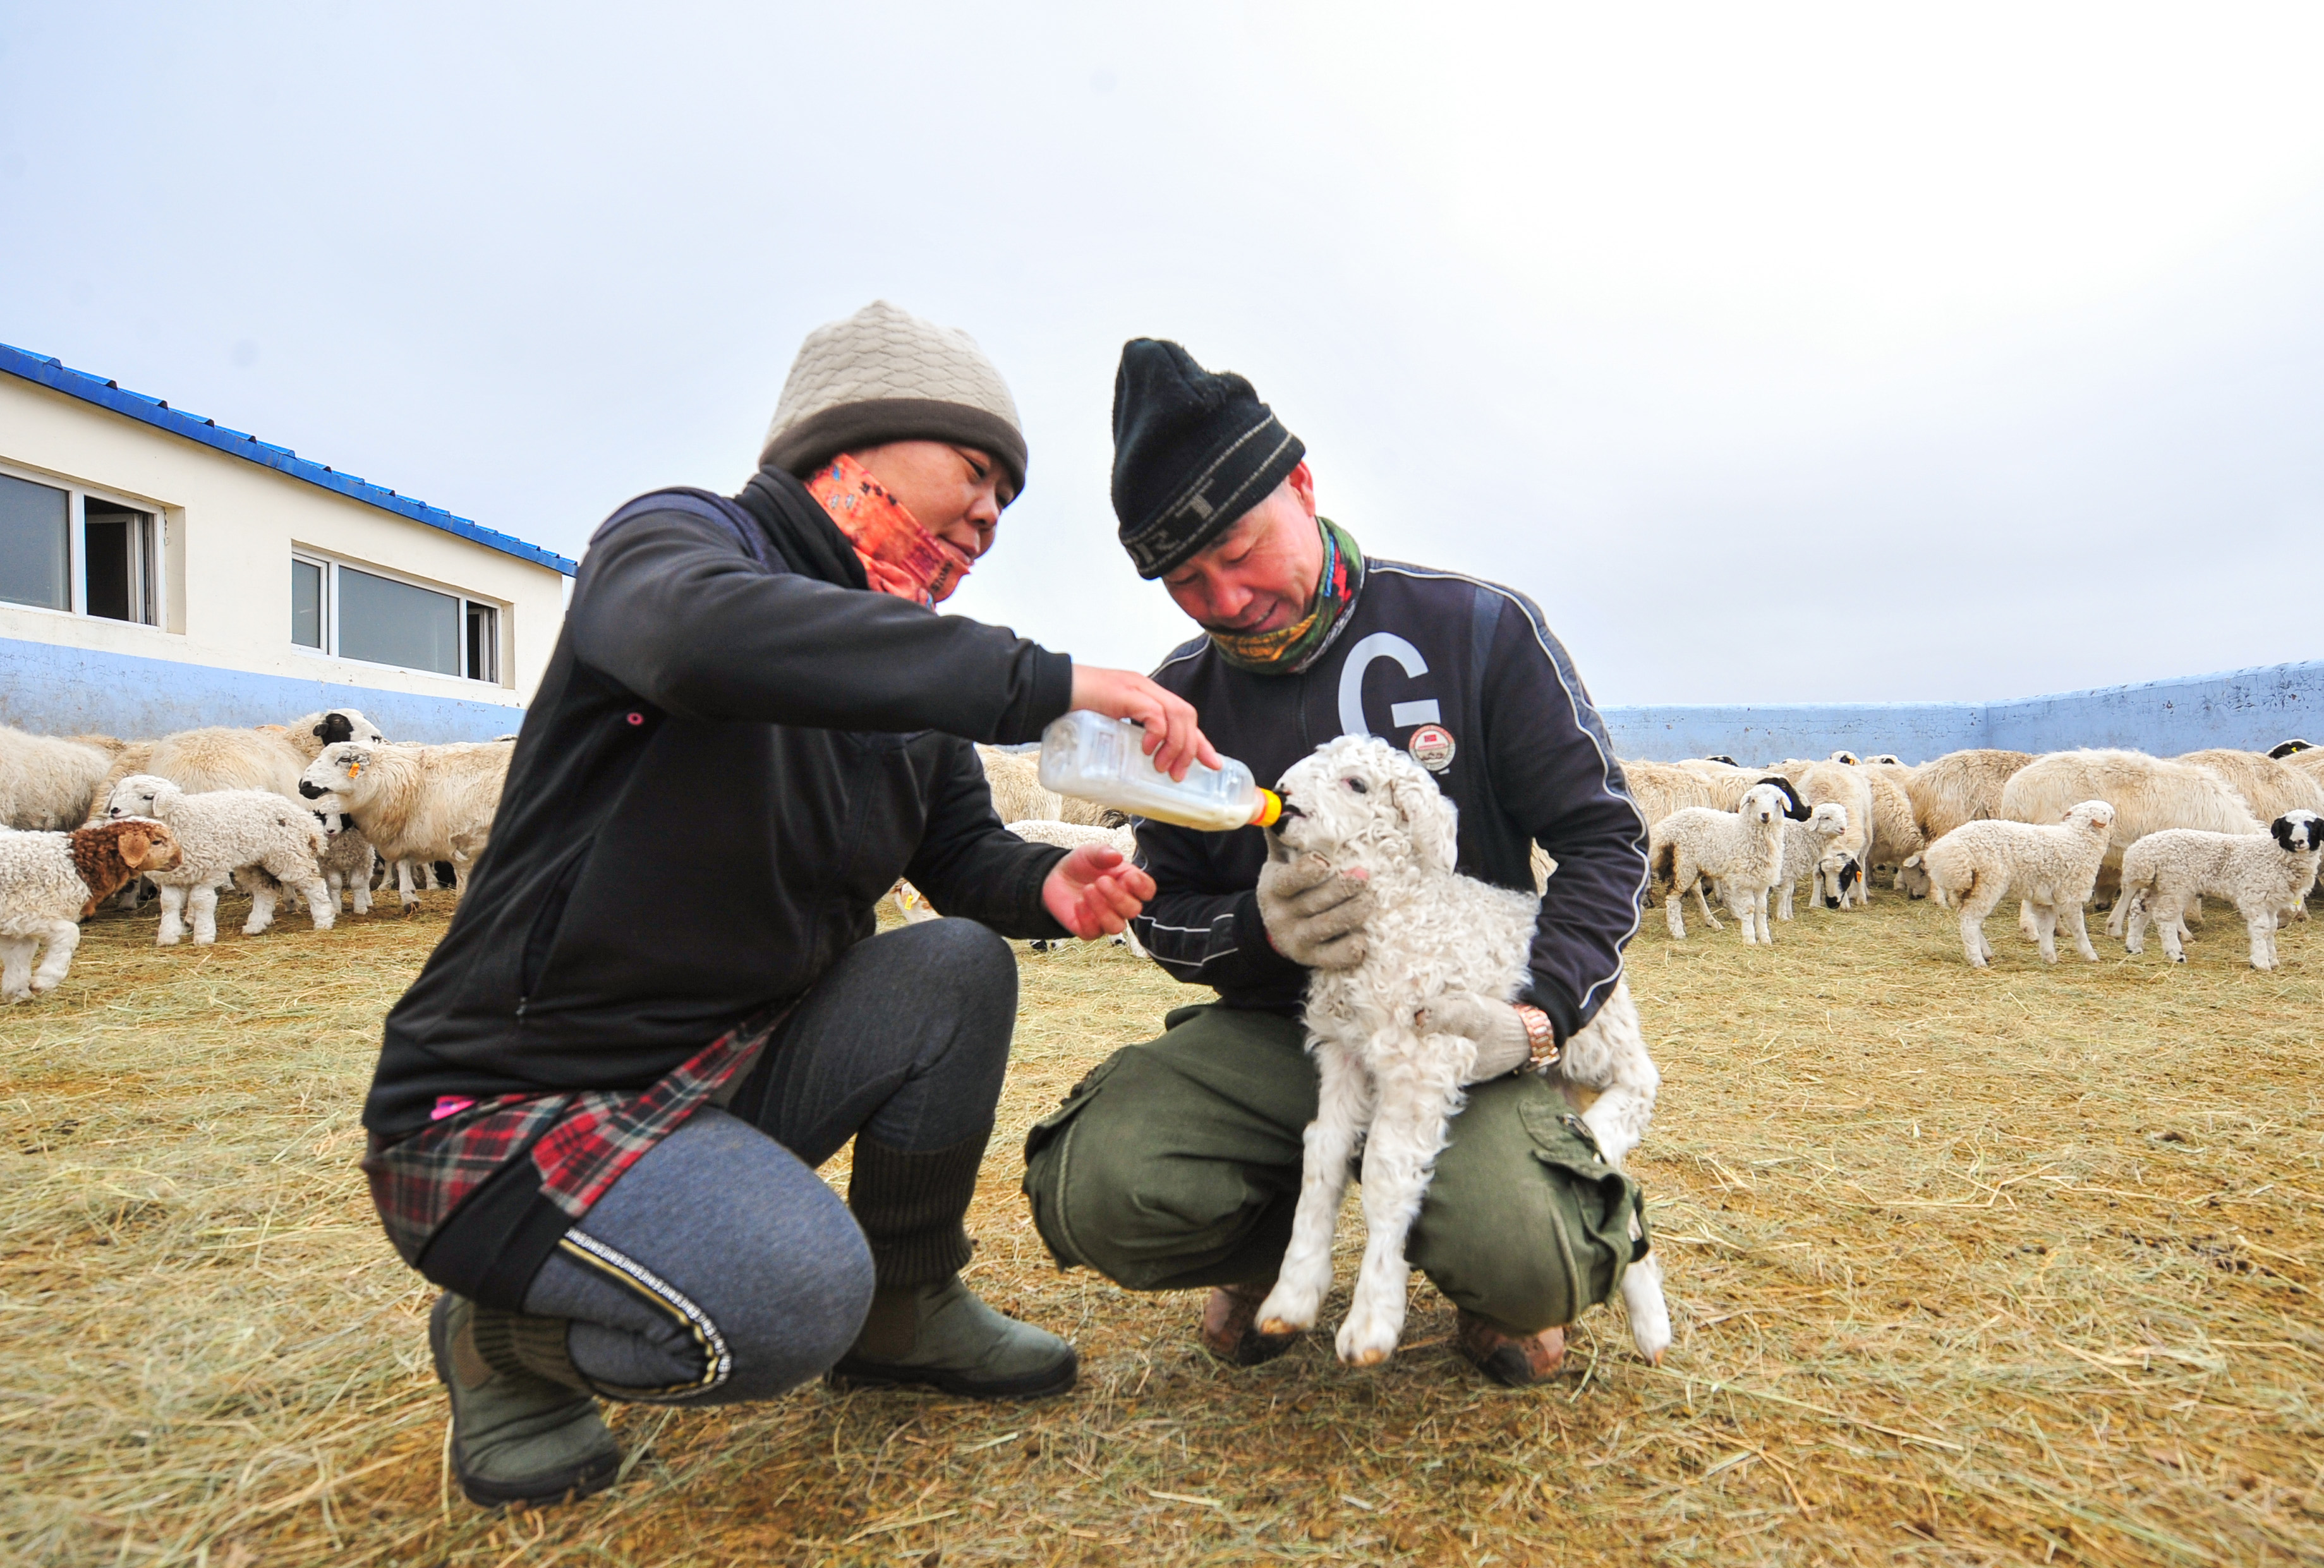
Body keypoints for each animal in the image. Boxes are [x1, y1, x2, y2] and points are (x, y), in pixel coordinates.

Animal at [0, 817, 183, 999]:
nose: (179, 859)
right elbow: (70, 934)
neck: (79, 864)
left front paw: (16, 991)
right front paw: (44, 980)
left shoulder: (19, 926)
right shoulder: (27, 914)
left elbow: (20, 955)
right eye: (157, 842)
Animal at [105, 771, 334, 943]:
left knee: (313, 884)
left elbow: (201, 901)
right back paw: (255, 925)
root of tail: (304, 817)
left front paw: (203, 936)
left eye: (147, 797)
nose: (115, 810)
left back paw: (324, 920)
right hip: (254, 861)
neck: (181, 821)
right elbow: (169, 905)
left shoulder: (208, 869)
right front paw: (168, 937)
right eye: (117, 793)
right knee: (266, 889)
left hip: (289, 853)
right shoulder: (172, 877)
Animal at [1245, 733, 1664, 1366]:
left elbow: (1388, 1169)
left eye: (1356, 784)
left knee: (1639, 1078)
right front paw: (1291, 1297)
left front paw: (1371, 1320)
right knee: (1615, 1176)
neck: (1395, 911)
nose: (1284, 799)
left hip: (1595, 1030)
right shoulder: (1344, 1052)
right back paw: (1650, 1320)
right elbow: (1322, 1156)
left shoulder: (1418, 1055)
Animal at [1645, 785, 1784, 943]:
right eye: (1753, 800)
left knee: (1694, 889)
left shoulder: (1761, 882)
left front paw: (1765, 939)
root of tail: (1666, 827)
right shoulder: (1744, 880)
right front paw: (1749, 940)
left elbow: (1761, 910)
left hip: (1692, 865)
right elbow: (1749, 909)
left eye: (1777, 801)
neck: (1744, 831)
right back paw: (1678, 932)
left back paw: (1710, 922)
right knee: (1672, 897)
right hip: (1684, 865)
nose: (1765, 815)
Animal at [2110, 808, 2324, 971]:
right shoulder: (2253, 896)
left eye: (2312, 826)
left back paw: (2134, 947)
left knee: (2140, 908)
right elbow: (2261, 928)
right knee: (2164, 917)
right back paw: (2175, 954)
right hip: (2175, 884)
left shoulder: (2270, 902)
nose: (2299, 842)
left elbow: (2271, 929)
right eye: (2288, 827)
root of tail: (2141, 850)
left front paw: (2272, 960)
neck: (2274, 855)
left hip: (2159, 884)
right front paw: (2261, 963)